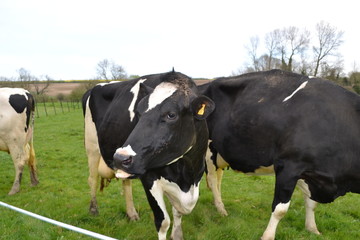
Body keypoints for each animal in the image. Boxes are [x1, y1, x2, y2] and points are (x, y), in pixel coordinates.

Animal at [82, 70, 214, 239]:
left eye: (171, 115)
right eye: (138, 113)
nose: (120, 157)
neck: (186, 175)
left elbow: (177, 212)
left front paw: (177, 235)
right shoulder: (149, 178)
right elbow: (163, 222)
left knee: (126, 184)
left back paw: (132, 214)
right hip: (91, 145)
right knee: (92, 179)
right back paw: (93, 209)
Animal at [200, 68, 360, 239]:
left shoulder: (309, 173)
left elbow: (311, 203)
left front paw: (312, 228)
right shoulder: (289, 166)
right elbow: (280, 209)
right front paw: (268, 236)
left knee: (217, 179)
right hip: (207, 151)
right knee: (212, 179)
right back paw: (221, 209)